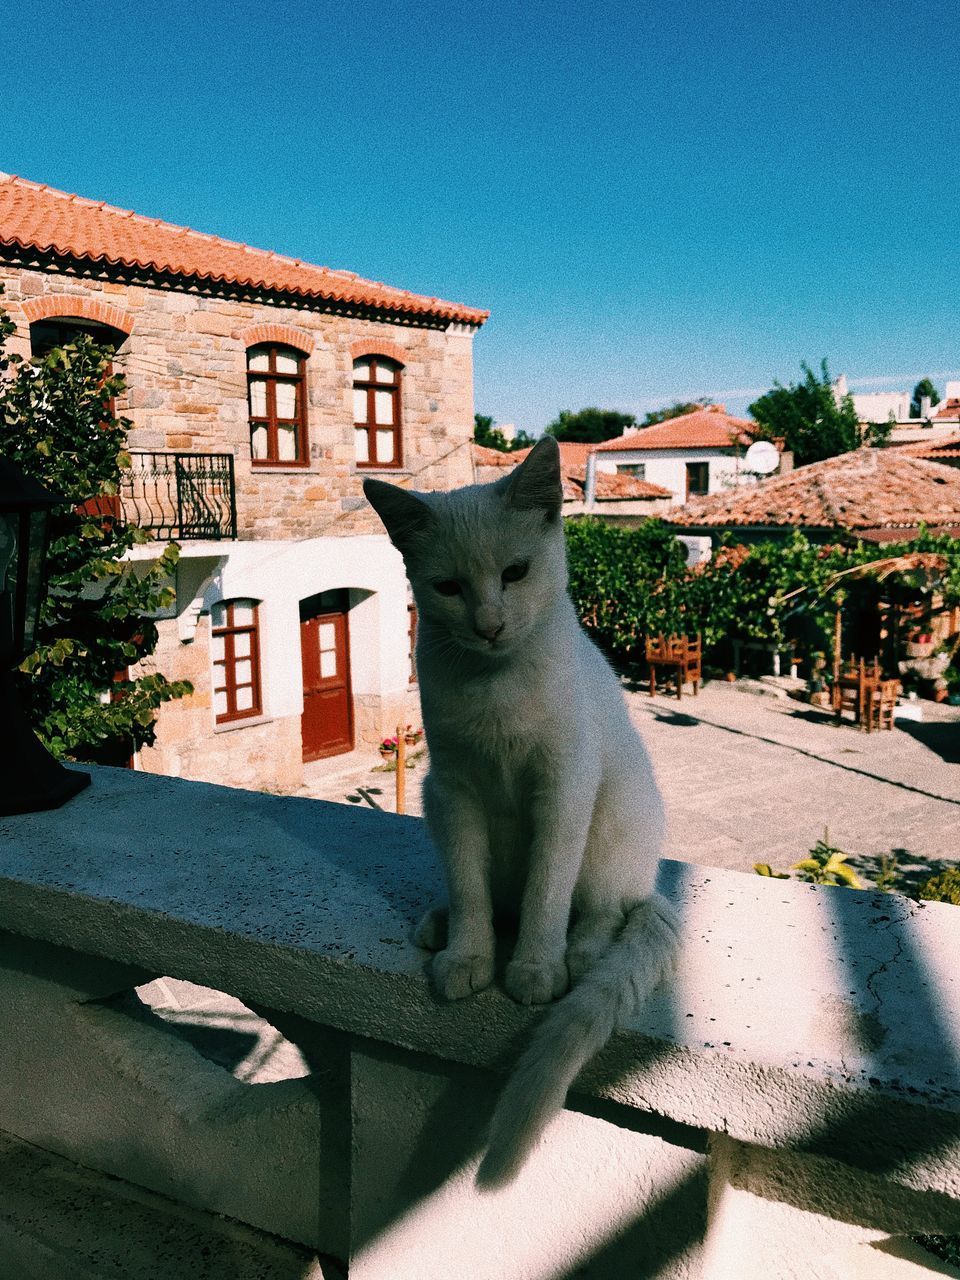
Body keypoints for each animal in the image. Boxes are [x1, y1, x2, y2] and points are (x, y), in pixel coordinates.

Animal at [363, 435, 680, 1182]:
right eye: (448, 588)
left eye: (515, 572)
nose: (488, 626)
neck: (494, 686)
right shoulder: (452, 790)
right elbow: (472, 890)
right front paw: (469, 955)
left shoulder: (563, 786)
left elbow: (545, 893)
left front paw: (533, 967)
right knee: (490, 895)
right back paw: (441, 924)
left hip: (614, 818)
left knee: (602, 907)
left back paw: (581, 949)